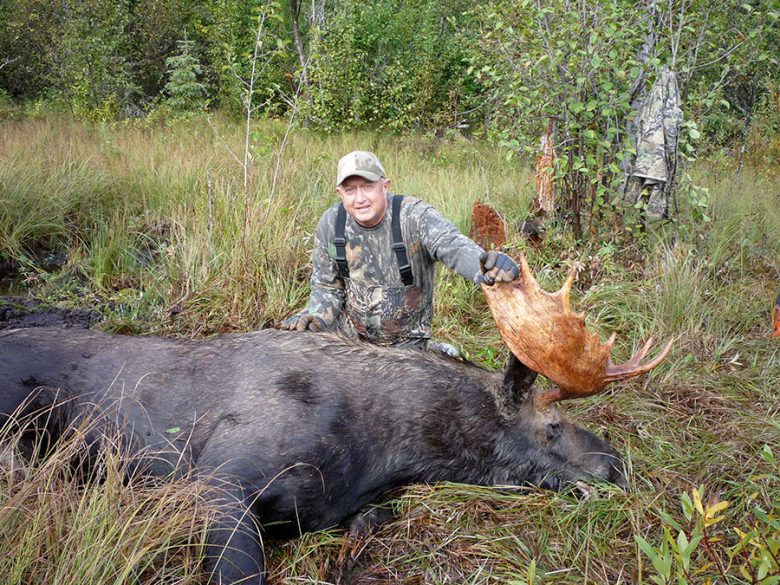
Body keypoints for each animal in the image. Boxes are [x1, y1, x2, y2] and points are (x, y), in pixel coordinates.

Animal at [0, 256, 672, 584]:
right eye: (552, 428)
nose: (616, 463)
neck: (385, 445)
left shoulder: (352, 500)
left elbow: (368, 523)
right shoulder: (216, 482)